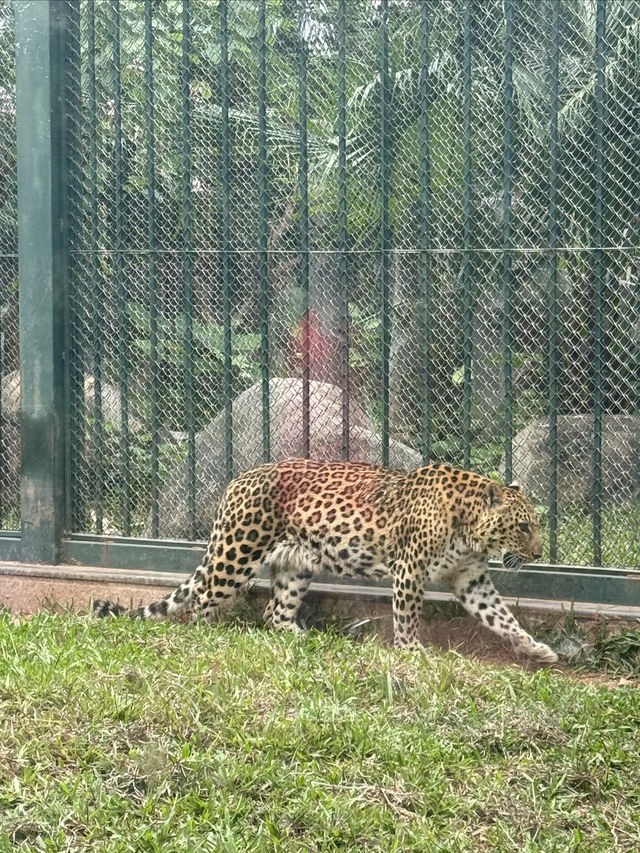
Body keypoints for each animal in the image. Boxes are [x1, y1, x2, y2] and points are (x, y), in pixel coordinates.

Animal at [92, 460, 556, 664]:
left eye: (534, 525)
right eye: (522, 527)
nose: (538, 554)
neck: (471, 529)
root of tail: (235, 480)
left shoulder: (471, 580)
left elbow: (502, 617)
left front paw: (534, 647)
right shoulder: (410, 570)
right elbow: (407, 615)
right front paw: (411, 651)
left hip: (296, 567)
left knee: (273, 612)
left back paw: (302, 637)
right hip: (237, 554)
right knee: (203, 598)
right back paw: (209, 637)